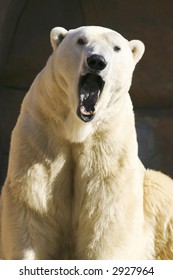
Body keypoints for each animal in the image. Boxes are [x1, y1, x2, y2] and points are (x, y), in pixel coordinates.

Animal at [0, 26, 173, 260]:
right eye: (81, 41)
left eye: (116, 48)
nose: (97, 61)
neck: (78, 129)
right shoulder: (42, 130)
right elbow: (33, 202)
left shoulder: (107, 142)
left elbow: (106, 210)